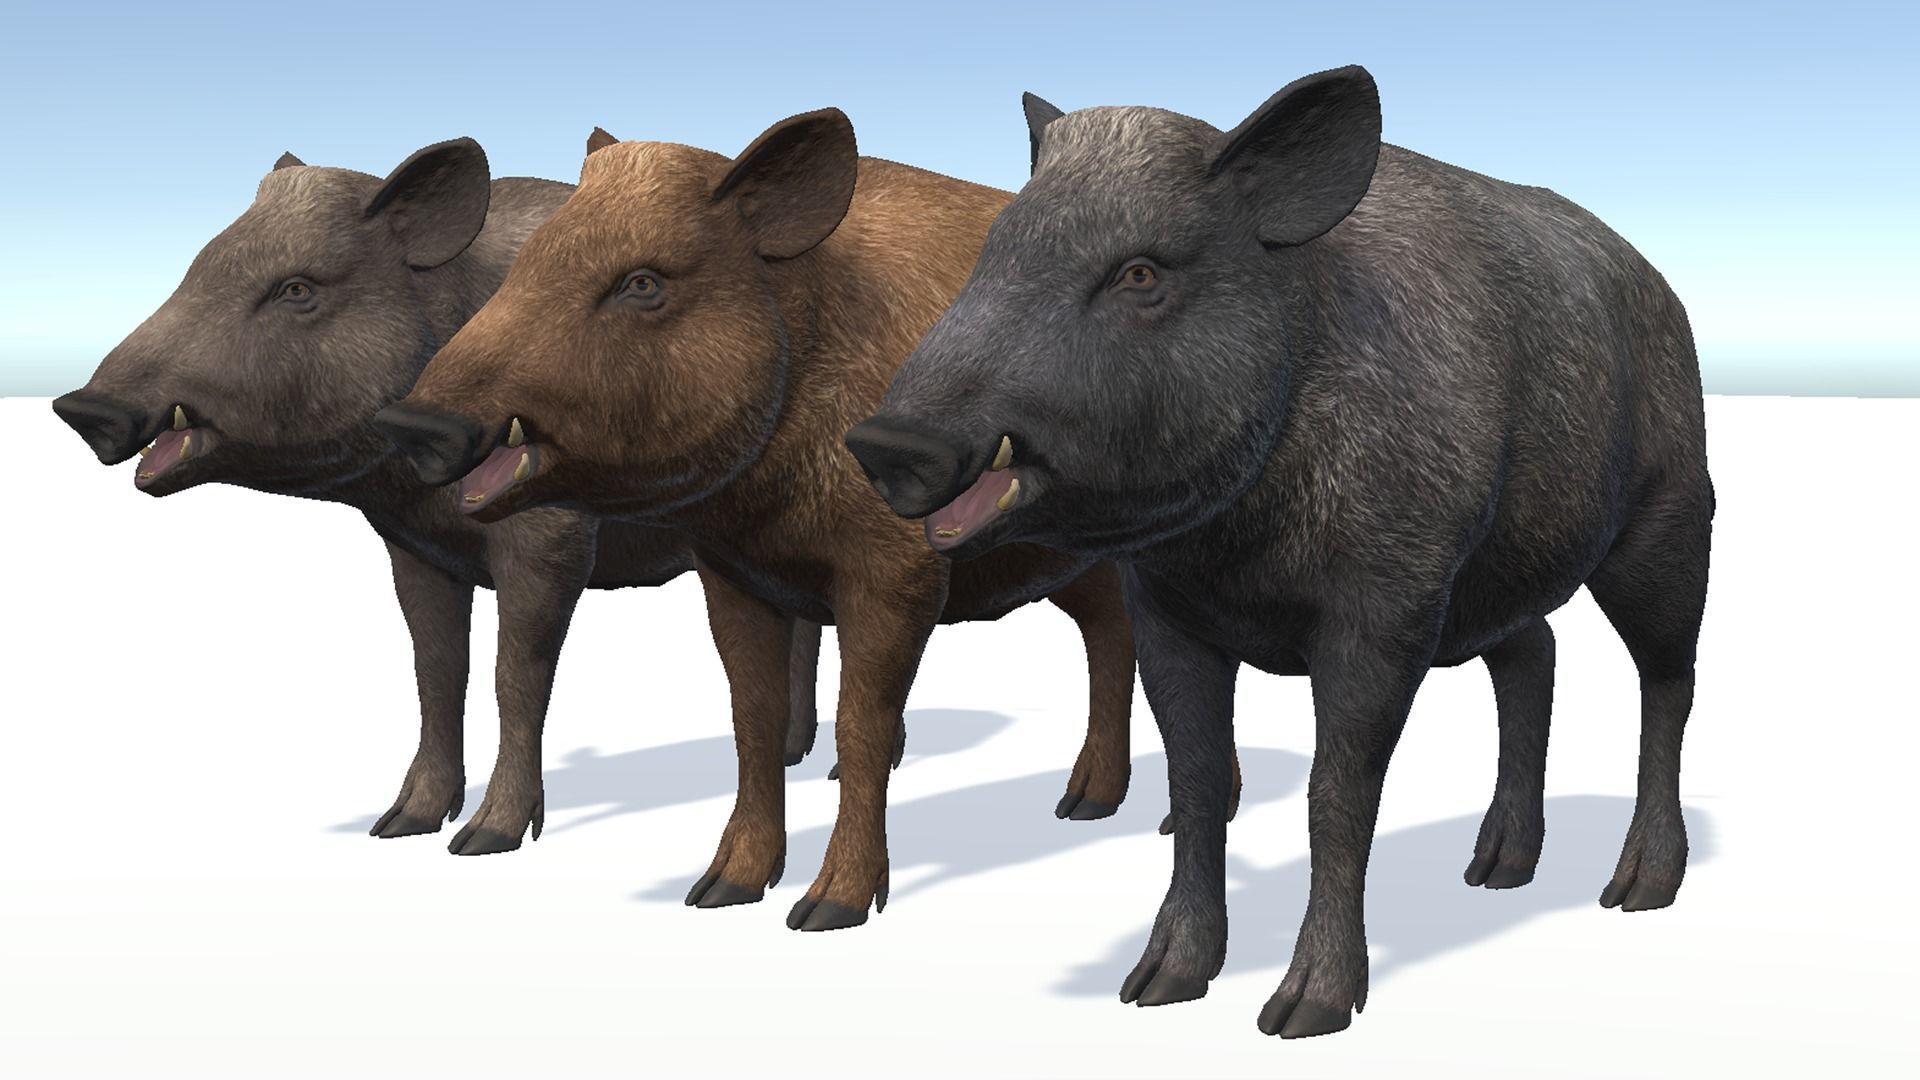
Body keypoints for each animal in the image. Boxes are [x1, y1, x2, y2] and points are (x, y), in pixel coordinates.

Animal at [50, 137, 825, 855]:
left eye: (297, 290)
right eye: (197, 267)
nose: (82, 407)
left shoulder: (552, 538)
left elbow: (516, 675)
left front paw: (486, 837)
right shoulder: (413, 548)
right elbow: (437, 671)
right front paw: (400, 824)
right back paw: (796, 753)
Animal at [372, 110, 1246, 929]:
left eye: (643, 283)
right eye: (530, 263)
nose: (414, 422)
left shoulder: (896, 571)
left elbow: (862, 726)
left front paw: (828, 908)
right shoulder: (731, 571)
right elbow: (752, 721)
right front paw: (719, 890)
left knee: (1120, 642)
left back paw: (1105, 806)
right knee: (1109, 630)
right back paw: (1092, 802)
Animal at [849, 65, 1714, 1036]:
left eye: (1141, 271)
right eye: (993, 253)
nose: (884, 443)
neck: (1238, 544)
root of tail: (1659, 285)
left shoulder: (1385, 611)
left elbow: (1335, 796)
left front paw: (1302, 1012)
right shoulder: (1167, 612)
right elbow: (1192, 782)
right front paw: (1155, 986)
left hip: (1671, 519)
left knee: (1667, 680)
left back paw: (1637, 888)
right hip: (1498, 579)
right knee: (1536, 651)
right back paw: (1495, 870)